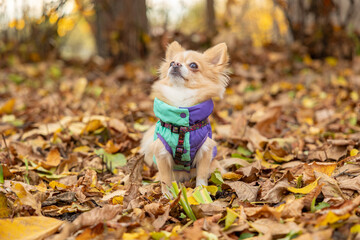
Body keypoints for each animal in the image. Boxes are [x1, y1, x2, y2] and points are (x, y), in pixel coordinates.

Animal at [141, 41, 228, 195]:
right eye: (171, 62)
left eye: (193, 65)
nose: (175, 64)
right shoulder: (161, 152)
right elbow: (165, 178)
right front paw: (167, 194)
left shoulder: (206, 150)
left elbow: (201, 175)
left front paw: (201, 191)